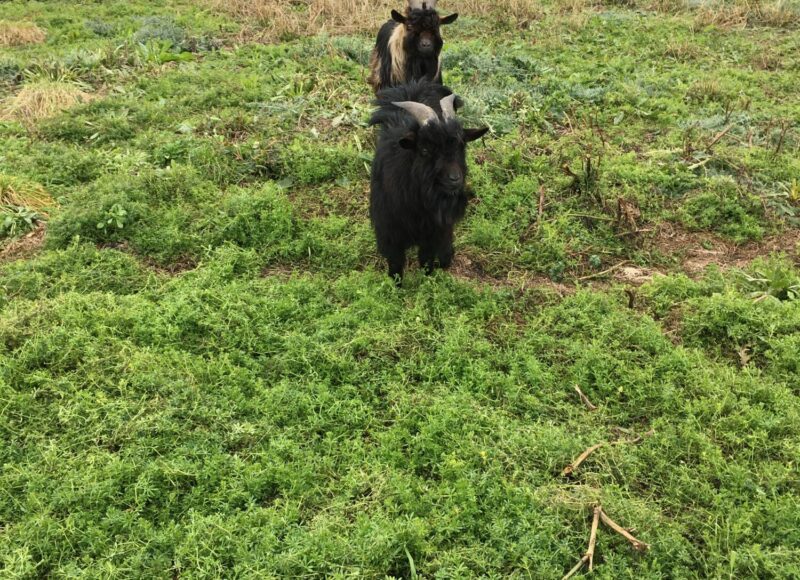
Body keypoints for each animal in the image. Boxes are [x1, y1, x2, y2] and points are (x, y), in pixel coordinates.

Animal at [368, 81, 488, 280]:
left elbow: (426, 262)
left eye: (461, 146)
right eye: (425, 149)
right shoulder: (389, 232)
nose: (455, 178)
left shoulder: (433, 234)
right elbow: (395, 266)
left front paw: (428, 281)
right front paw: (396, 286)